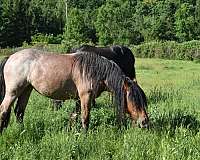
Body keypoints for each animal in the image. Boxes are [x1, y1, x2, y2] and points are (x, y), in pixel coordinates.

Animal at [0, 48, 148, 132]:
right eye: (134, 100)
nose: (145, 122)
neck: (95, 71)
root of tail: (10, 57)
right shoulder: (85, 96)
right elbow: (85, 117)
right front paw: (85, 135)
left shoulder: (78, 99)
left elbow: (75, 116)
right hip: (13, 92)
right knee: (4, 110)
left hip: (26, 89)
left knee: (19, 112)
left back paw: (22, 131)